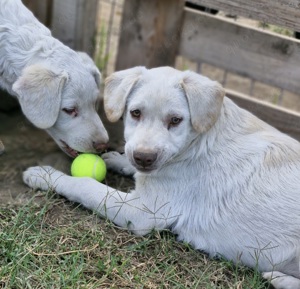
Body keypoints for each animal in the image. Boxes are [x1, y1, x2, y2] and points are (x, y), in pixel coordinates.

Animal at [24, 67, 300, 288]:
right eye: (135, 113)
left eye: (176, 120)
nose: (144, 158)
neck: (197, 143)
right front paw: (117, 159)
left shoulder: (142, 212)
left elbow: (85, 185)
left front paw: (44, 175)